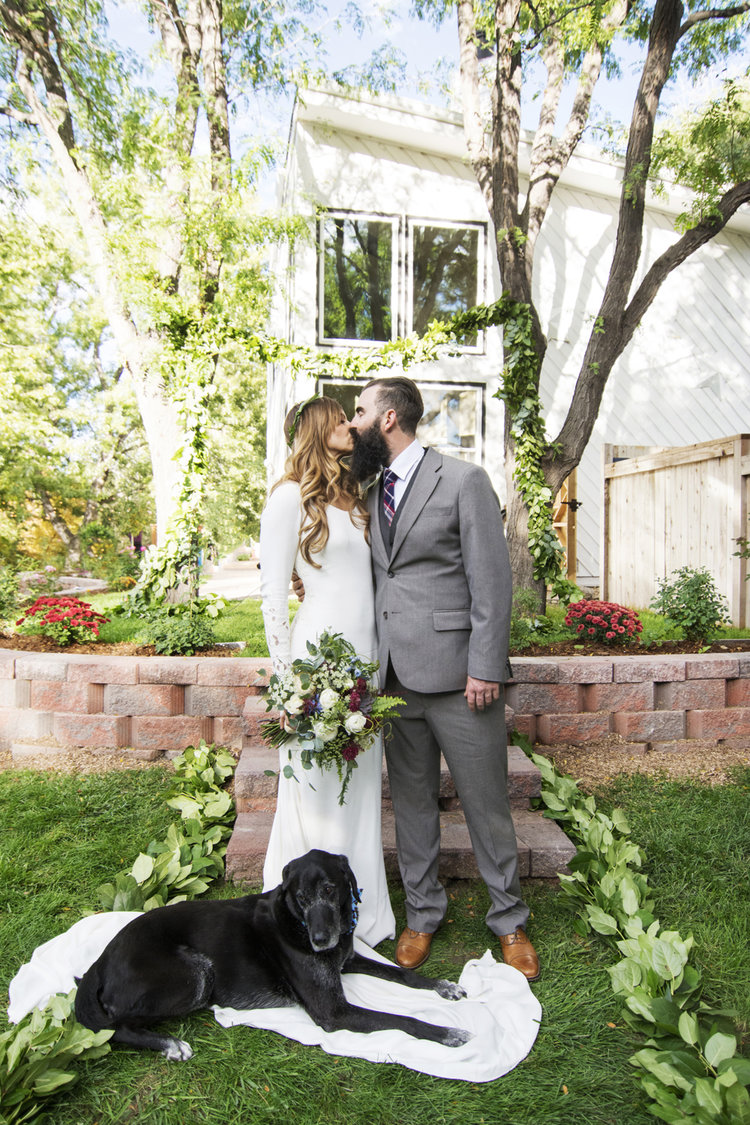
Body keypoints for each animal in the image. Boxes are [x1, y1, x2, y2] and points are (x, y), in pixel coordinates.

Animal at [73, 846, 472, 1057]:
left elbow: (403, 973)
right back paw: (169, 1043)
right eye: (301, 897)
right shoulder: (333, 1011)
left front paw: (444, 986)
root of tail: (100, 961)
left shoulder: (349, 960)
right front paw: (446, 1032)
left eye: (330, 889)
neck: (296, 922)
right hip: (194, 976)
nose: (321, 940)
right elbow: (403, 1019)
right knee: (113, 1028)